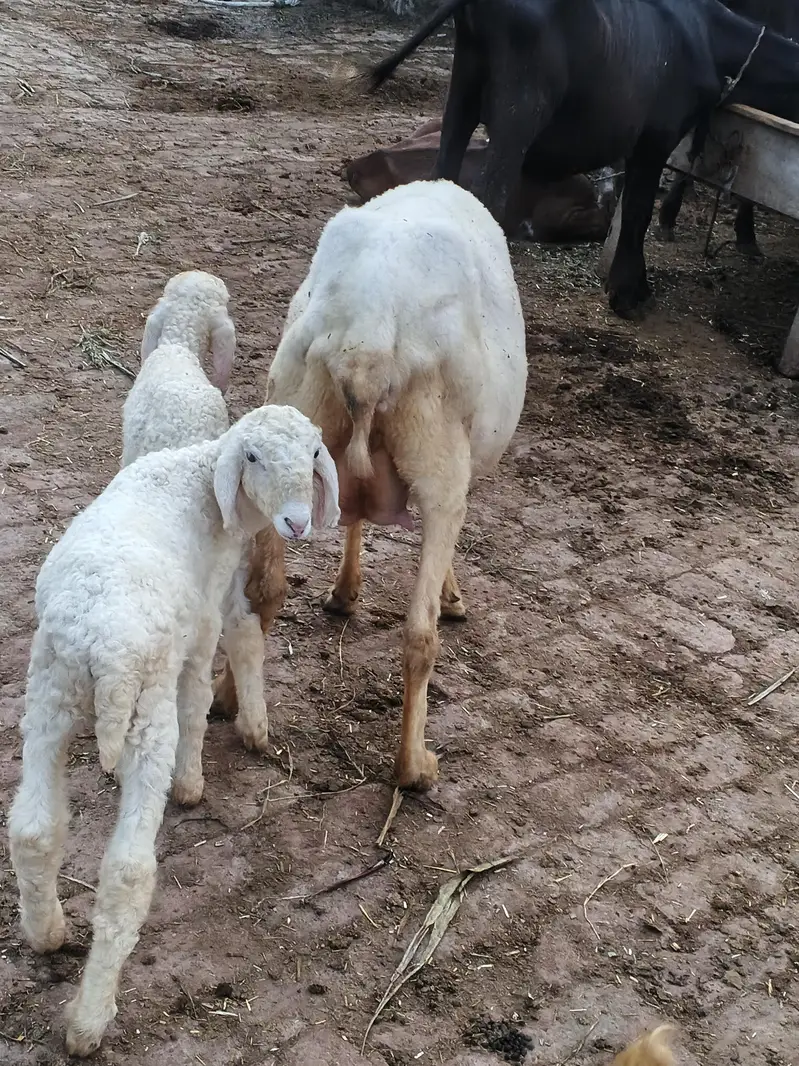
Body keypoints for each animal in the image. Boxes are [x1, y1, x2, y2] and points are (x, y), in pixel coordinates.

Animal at [8, 405, 340, 1057]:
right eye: (254, 457)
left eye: (315, 452)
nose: (296, 522)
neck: (199, 477)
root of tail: (103, 650)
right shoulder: (204, 611)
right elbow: (206, 682)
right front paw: (194, 780)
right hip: (144, 712)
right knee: (127, 872)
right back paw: (89, 1020)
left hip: (49, 695)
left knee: (32, 829)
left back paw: (47, 931)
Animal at [211, 178, 527, 791]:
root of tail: (368, 339)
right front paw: (451, 593)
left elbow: (353, 514)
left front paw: (345, 591)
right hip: (440, 461)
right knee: (419, 635)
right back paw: (414, 768)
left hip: (290, 418)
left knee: (263, 589)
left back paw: (227, 699)